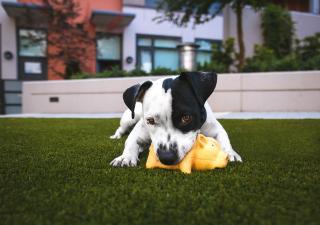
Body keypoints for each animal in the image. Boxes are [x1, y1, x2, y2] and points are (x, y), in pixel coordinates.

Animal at [110, 71, 242, 166]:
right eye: (150, 121)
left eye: (186, 118)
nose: (167, 157)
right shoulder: (139, 130)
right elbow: (130, 142)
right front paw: (125, 157)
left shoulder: (214, 128)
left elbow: (224, 138)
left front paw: (230, 152)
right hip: (129, 118)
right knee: (121, 128)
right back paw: (116, 136)